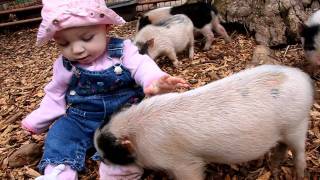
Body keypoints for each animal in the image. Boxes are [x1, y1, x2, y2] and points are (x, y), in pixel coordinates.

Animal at [94, 64, 314, 179]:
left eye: (111, 150)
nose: (100, 158)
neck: (136, 129)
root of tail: (305, 79)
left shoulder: (184, 163)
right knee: (281, 148)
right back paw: (275, 168)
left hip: (297, 124)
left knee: (299, 152)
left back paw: (300, 174)